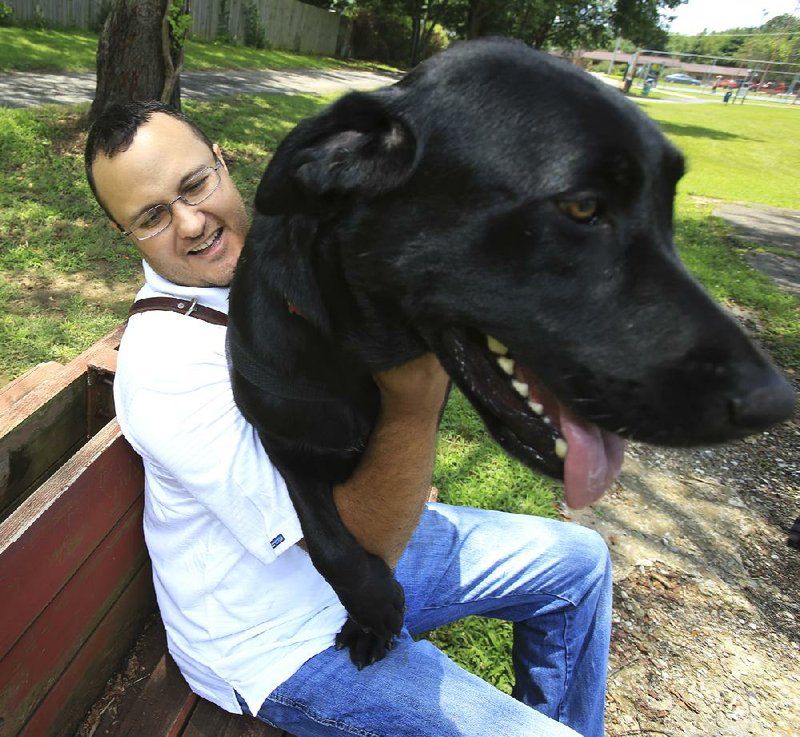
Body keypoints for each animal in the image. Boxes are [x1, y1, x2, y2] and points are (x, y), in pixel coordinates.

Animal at [228, 37, 796, 664]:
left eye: (667, 209)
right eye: (582, 208)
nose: (776, 403)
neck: (355, 355)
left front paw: (368, 617)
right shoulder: (282, 439)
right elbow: (324, 532)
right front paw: (373, 603)